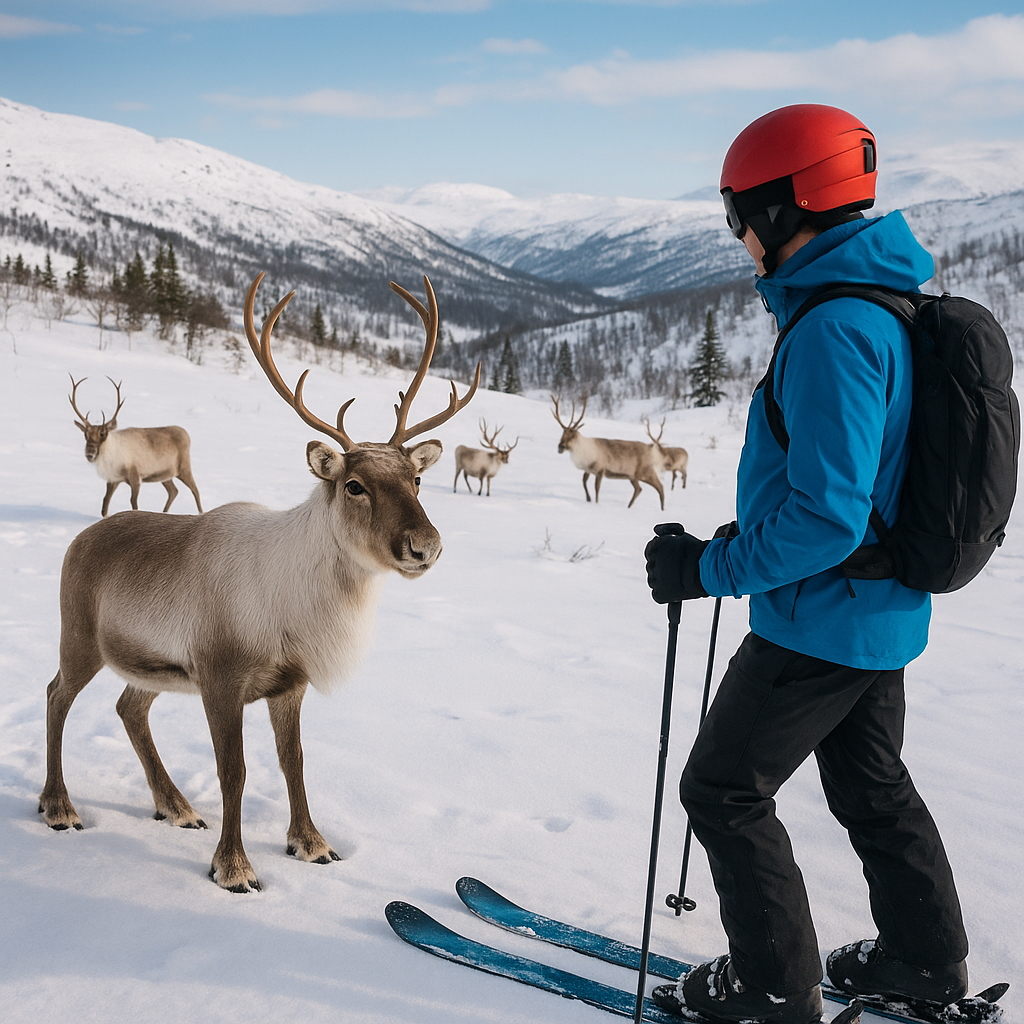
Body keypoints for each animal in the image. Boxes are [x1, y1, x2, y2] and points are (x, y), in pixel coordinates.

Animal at [69, 376, 203, 517]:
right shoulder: (113, 479)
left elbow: (134, 503)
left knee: (195, 490)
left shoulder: (135, 476)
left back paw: (200, 512)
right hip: (165, 475)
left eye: (102, 433)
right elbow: (105, 504)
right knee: (173, 491)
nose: (90, 453)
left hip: (183, 468)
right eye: (85, 434)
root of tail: (186, 434)